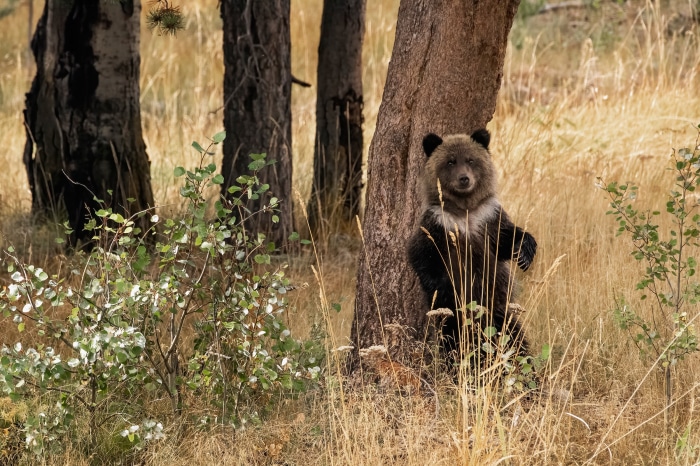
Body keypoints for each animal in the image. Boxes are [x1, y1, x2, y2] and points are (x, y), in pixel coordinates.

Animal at [407, 128, 537, 370]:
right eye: (450, 161)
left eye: (470, 159)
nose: (464, 178)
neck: (465, 210)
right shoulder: (437, 224)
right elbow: (422, 256)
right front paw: (441, 285)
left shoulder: (488, 218)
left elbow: (507, 237)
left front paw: (524, 252)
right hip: (455, 322)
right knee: (453, 342)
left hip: (499, 310)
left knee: (515, 337)